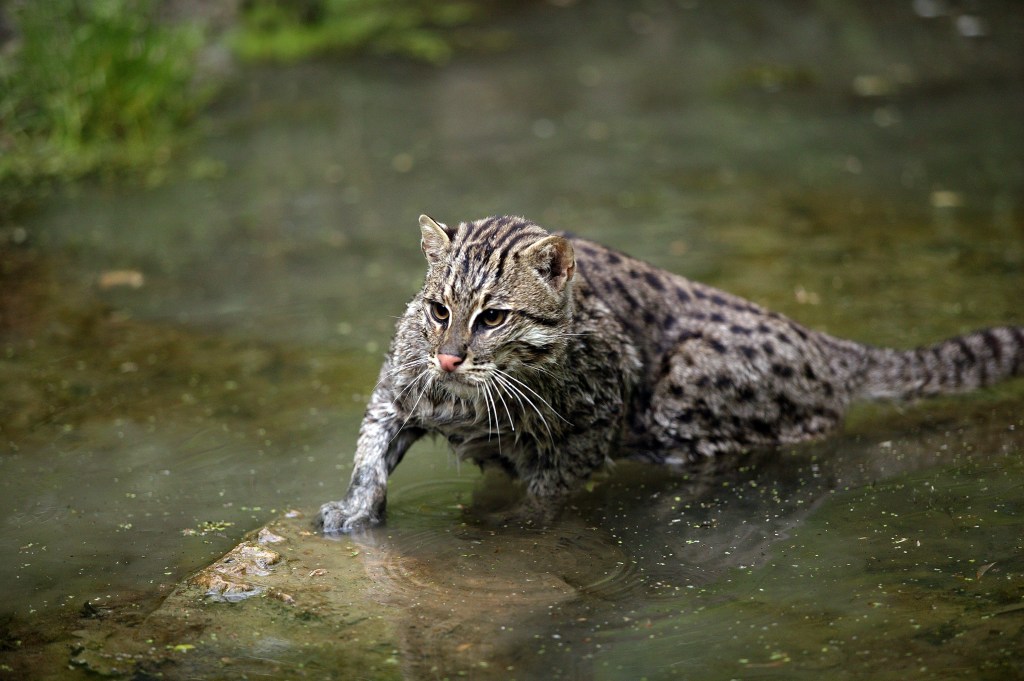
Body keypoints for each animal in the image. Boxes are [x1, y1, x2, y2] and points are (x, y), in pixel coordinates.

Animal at [315, 213, 1019, 532]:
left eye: (493, 317)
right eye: (438, 311)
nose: (448, 357)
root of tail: (822, 343)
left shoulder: (596, 422)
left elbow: (548, 489)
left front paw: (523, 524)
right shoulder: (395, 393)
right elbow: (370, 454)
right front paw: (353, 512)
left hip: (683, 401)